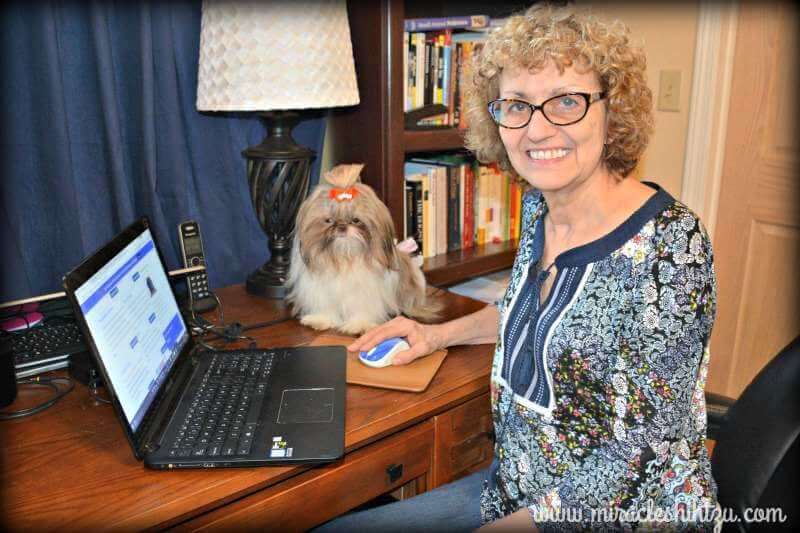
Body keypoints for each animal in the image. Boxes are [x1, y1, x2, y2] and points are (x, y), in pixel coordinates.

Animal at [288, 164, 440, 334]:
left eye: (356, 220)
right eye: (329, 220)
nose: (341, 227)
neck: (345, 257)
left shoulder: (366, 293)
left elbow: (362, 308)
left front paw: (360, 324)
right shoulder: (322, 290)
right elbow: (325, 306)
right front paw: (321, 319)